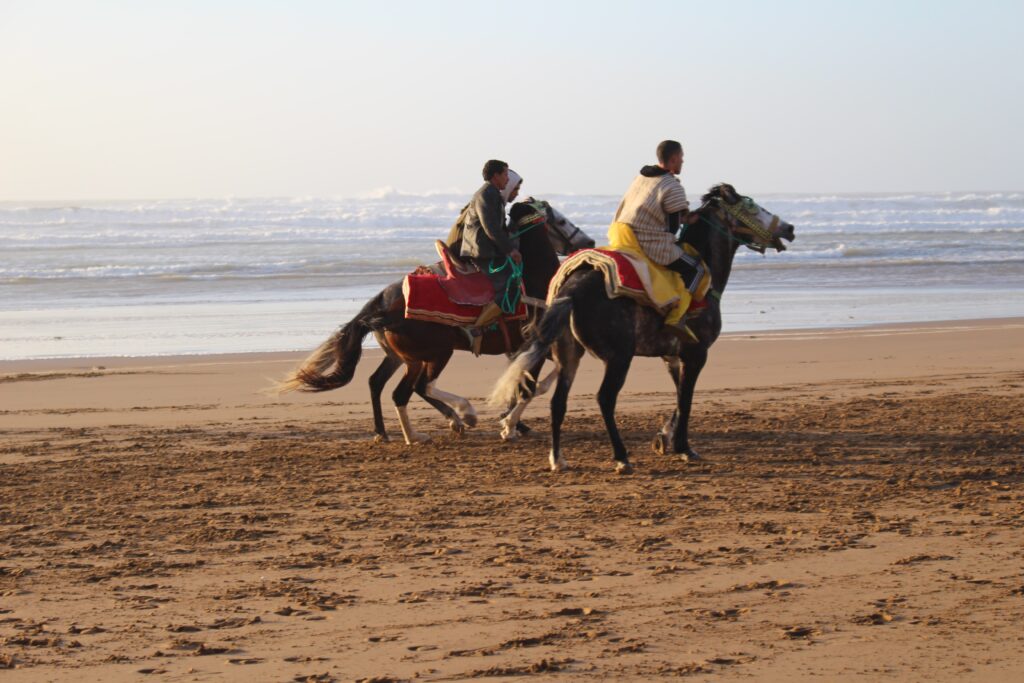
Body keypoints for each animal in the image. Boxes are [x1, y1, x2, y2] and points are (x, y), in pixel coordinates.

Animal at [280, 200, 593, 444]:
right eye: (560, 220)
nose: (587, 242)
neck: (536, 282)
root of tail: (384, 303)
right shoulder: (533, 345)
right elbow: (528, 387)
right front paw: (509, 425)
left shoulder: (529, 348)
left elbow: (535, 380)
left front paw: (511, 420)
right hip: (434, 354)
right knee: (414, 389)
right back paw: (454, 418)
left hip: (404, 357)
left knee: (381, 384)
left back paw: (395, 431)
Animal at [491, 187, 794, 475]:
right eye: (752, 206)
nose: (789, 228)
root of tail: (571, 291)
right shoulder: (696, 354)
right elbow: (686, 398)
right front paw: (683, 447)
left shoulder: (672, 356)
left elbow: (679, 394)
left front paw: (664, 437)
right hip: (618, 358)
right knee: (604, 399)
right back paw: (621, 458)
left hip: (569, 356)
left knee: (558, 402)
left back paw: (557, 459)